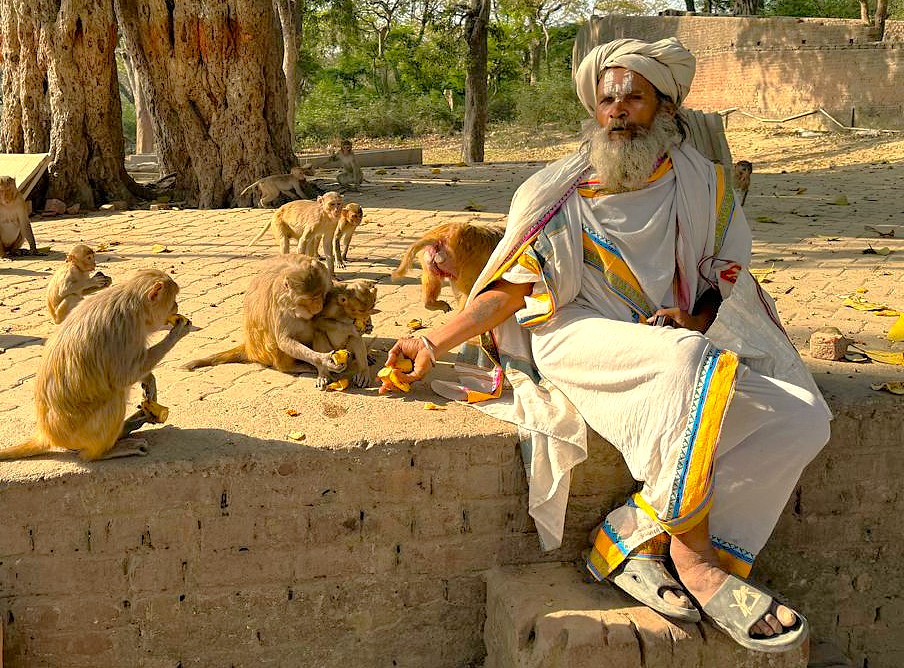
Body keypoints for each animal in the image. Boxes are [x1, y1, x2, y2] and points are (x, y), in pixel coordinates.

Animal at [0, 269, 191, 462]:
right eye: (173, 299)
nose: (176, 306)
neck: (134, 305)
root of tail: (48, 435)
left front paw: (149, 381)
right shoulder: (127, 331)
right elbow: (124, 377)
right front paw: (177, 332)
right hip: (81, 434)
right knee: (116, 394)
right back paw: (105, 451)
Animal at [183, 255, 345, 379]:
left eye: (319, 295)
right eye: (309, 300)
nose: (318, 307)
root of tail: (249, 348)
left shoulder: (326, 278)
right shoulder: (280, 305)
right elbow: (283, 341)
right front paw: (322, 360)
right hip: (267, 354)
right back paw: (290, 367)